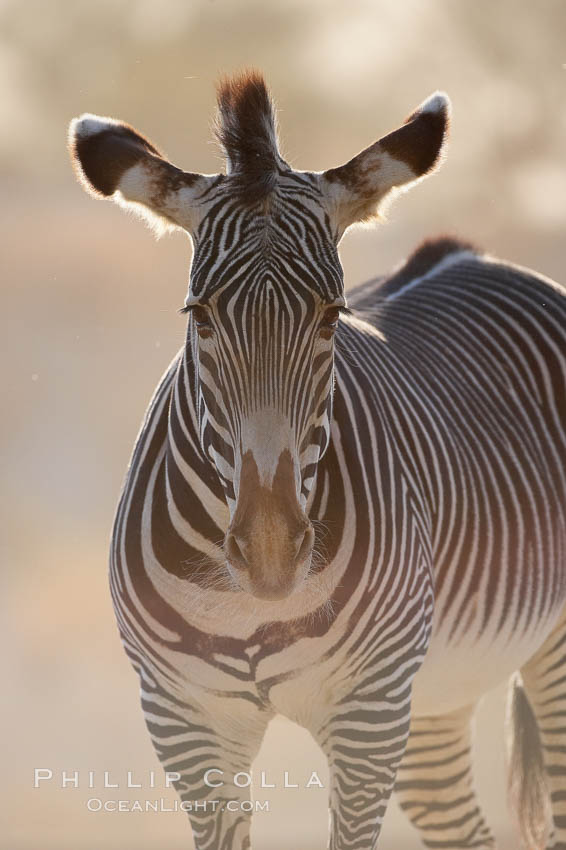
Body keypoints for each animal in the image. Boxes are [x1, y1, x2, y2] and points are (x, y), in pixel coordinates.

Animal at [69, 74, 566, 848]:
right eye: (198, 316)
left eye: (332, 315)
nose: (272, 554)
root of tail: (469, 256)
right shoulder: (186, 721)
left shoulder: (368, 714)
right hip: (435, 698)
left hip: (525, 661)